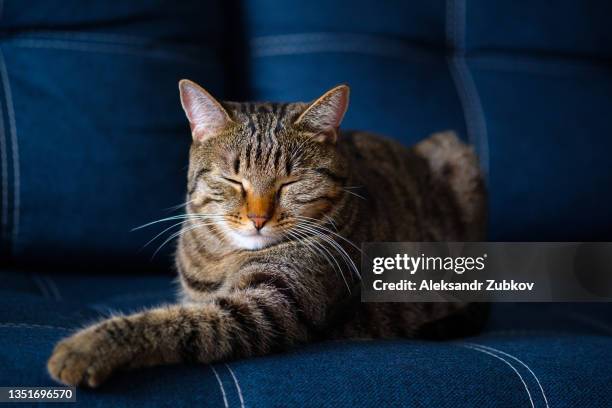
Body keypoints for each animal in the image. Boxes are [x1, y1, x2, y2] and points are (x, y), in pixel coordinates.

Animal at [47, 80, 488, 388]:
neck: (222, 258)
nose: (258, 218)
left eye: (291, 183)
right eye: (233, 180)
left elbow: (177, 323)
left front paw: (86, 347)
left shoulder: (266, 308)